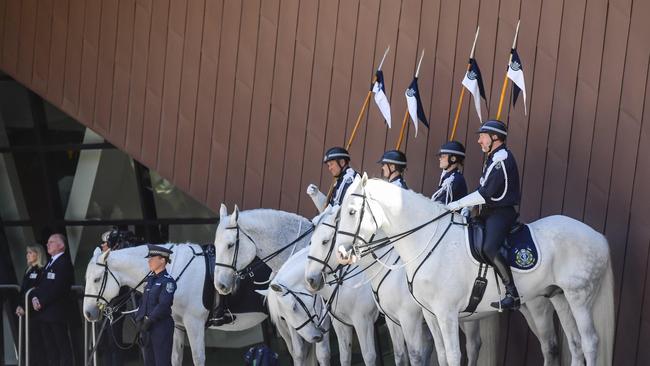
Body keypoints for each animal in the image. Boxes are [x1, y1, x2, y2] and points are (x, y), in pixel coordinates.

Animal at [215, 206, 380, 366]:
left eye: (230, 245)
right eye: (215, 246)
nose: (220, 285)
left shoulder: (321, 315)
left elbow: (322, 354)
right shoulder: (294, 320)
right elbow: (299, 353)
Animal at [332, 174, 612, 366]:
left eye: (352, 212)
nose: (342, 253)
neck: (425, 241)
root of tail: (598, 236)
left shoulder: (445, 313)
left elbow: (454, 355)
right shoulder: (430, 314)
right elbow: (442, 355)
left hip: (578, 297)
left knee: (589, 342)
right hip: (559, 297)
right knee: (575, 344)